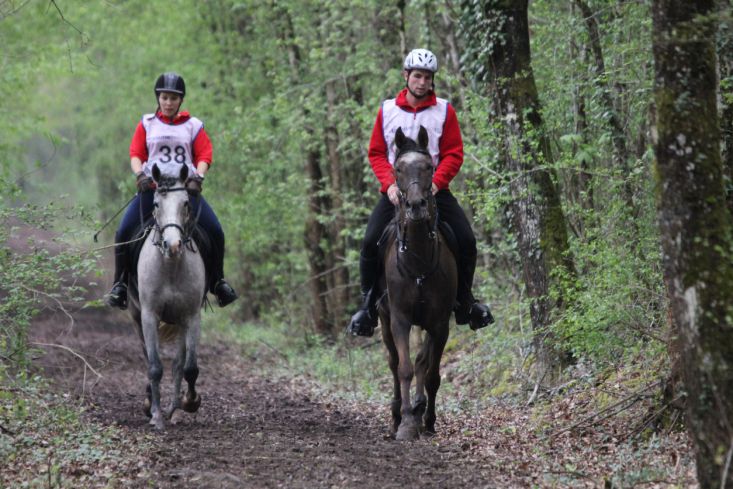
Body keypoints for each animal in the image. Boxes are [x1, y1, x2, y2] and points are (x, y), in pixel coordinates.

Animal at [126, 163, 204, 428]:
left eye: (186, 203)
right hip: (136, 317)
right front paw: (156, 416)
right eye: (156, 204)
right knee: (146, 357)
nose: (173, 245)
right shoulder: (149, 315)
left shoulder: (191, 317)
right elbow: (154, 367)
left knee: (179, 365)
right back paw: (151, 403)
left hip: (180, 322)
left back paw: (175, 409)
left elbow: (189, 367)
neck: (170, 266)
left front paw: (189, 403)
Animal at [374, 125, 454, 438]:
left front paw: (427, 420)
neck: (418, 261)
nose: (417, 205)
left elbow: (430, 373)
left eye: (429, 166)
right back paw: (398, 414)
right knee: (394, 363)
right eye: (397, 169)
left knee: (421, 363)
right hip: (383, 318)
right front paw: (407, 423)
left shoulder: (439, 323)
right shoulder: (399, 318)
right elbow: (405, 368)